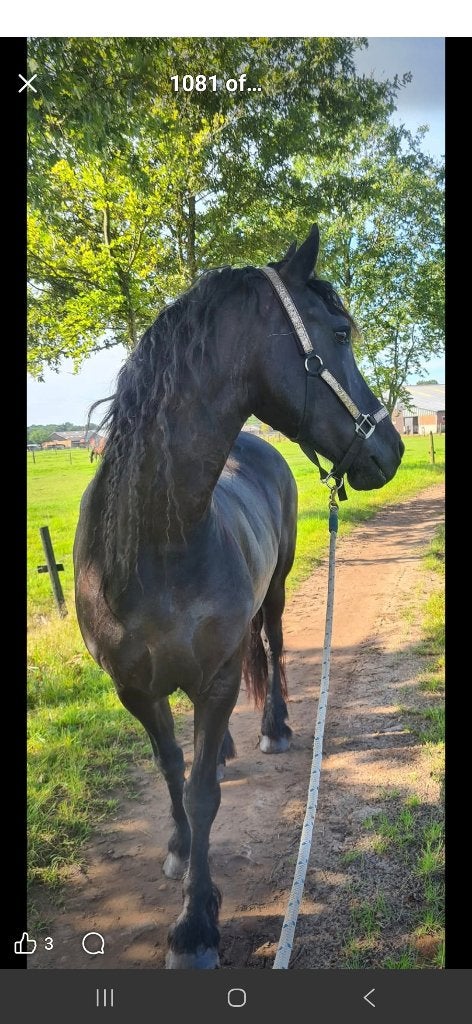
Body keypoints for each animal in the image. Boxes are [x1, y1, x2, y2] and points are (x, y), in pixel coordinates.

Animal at [73, 225, 404, 968]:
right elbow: (172, 772)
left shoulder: (220, 675)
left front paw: (196, 923)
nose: (393, 448)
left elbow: (202, 795)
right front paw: (178, 853)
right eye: (340, 331)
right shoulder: (134, 689)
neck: (160, 546)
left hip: (275, 594)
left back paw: (273, 728)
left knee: (274, 651)